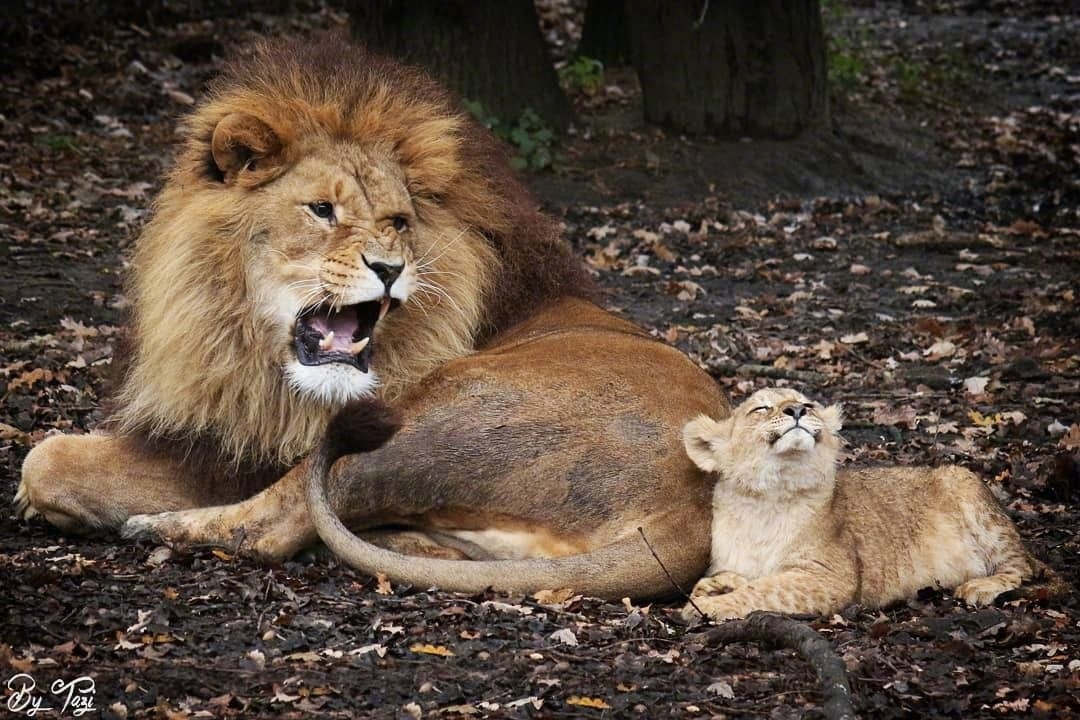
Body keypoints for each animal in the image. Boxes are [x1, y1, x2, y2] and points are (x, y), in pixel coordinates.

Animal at [14, 35, 725, 595]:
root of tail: (694, 509)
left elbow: (44, 459)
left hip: (426, 415)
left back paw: (154, 530)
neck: (246, 349)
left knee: (277, 522)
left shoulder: (257, 452)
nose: (389, 267)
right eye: (321, 210)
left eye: (398, 221)